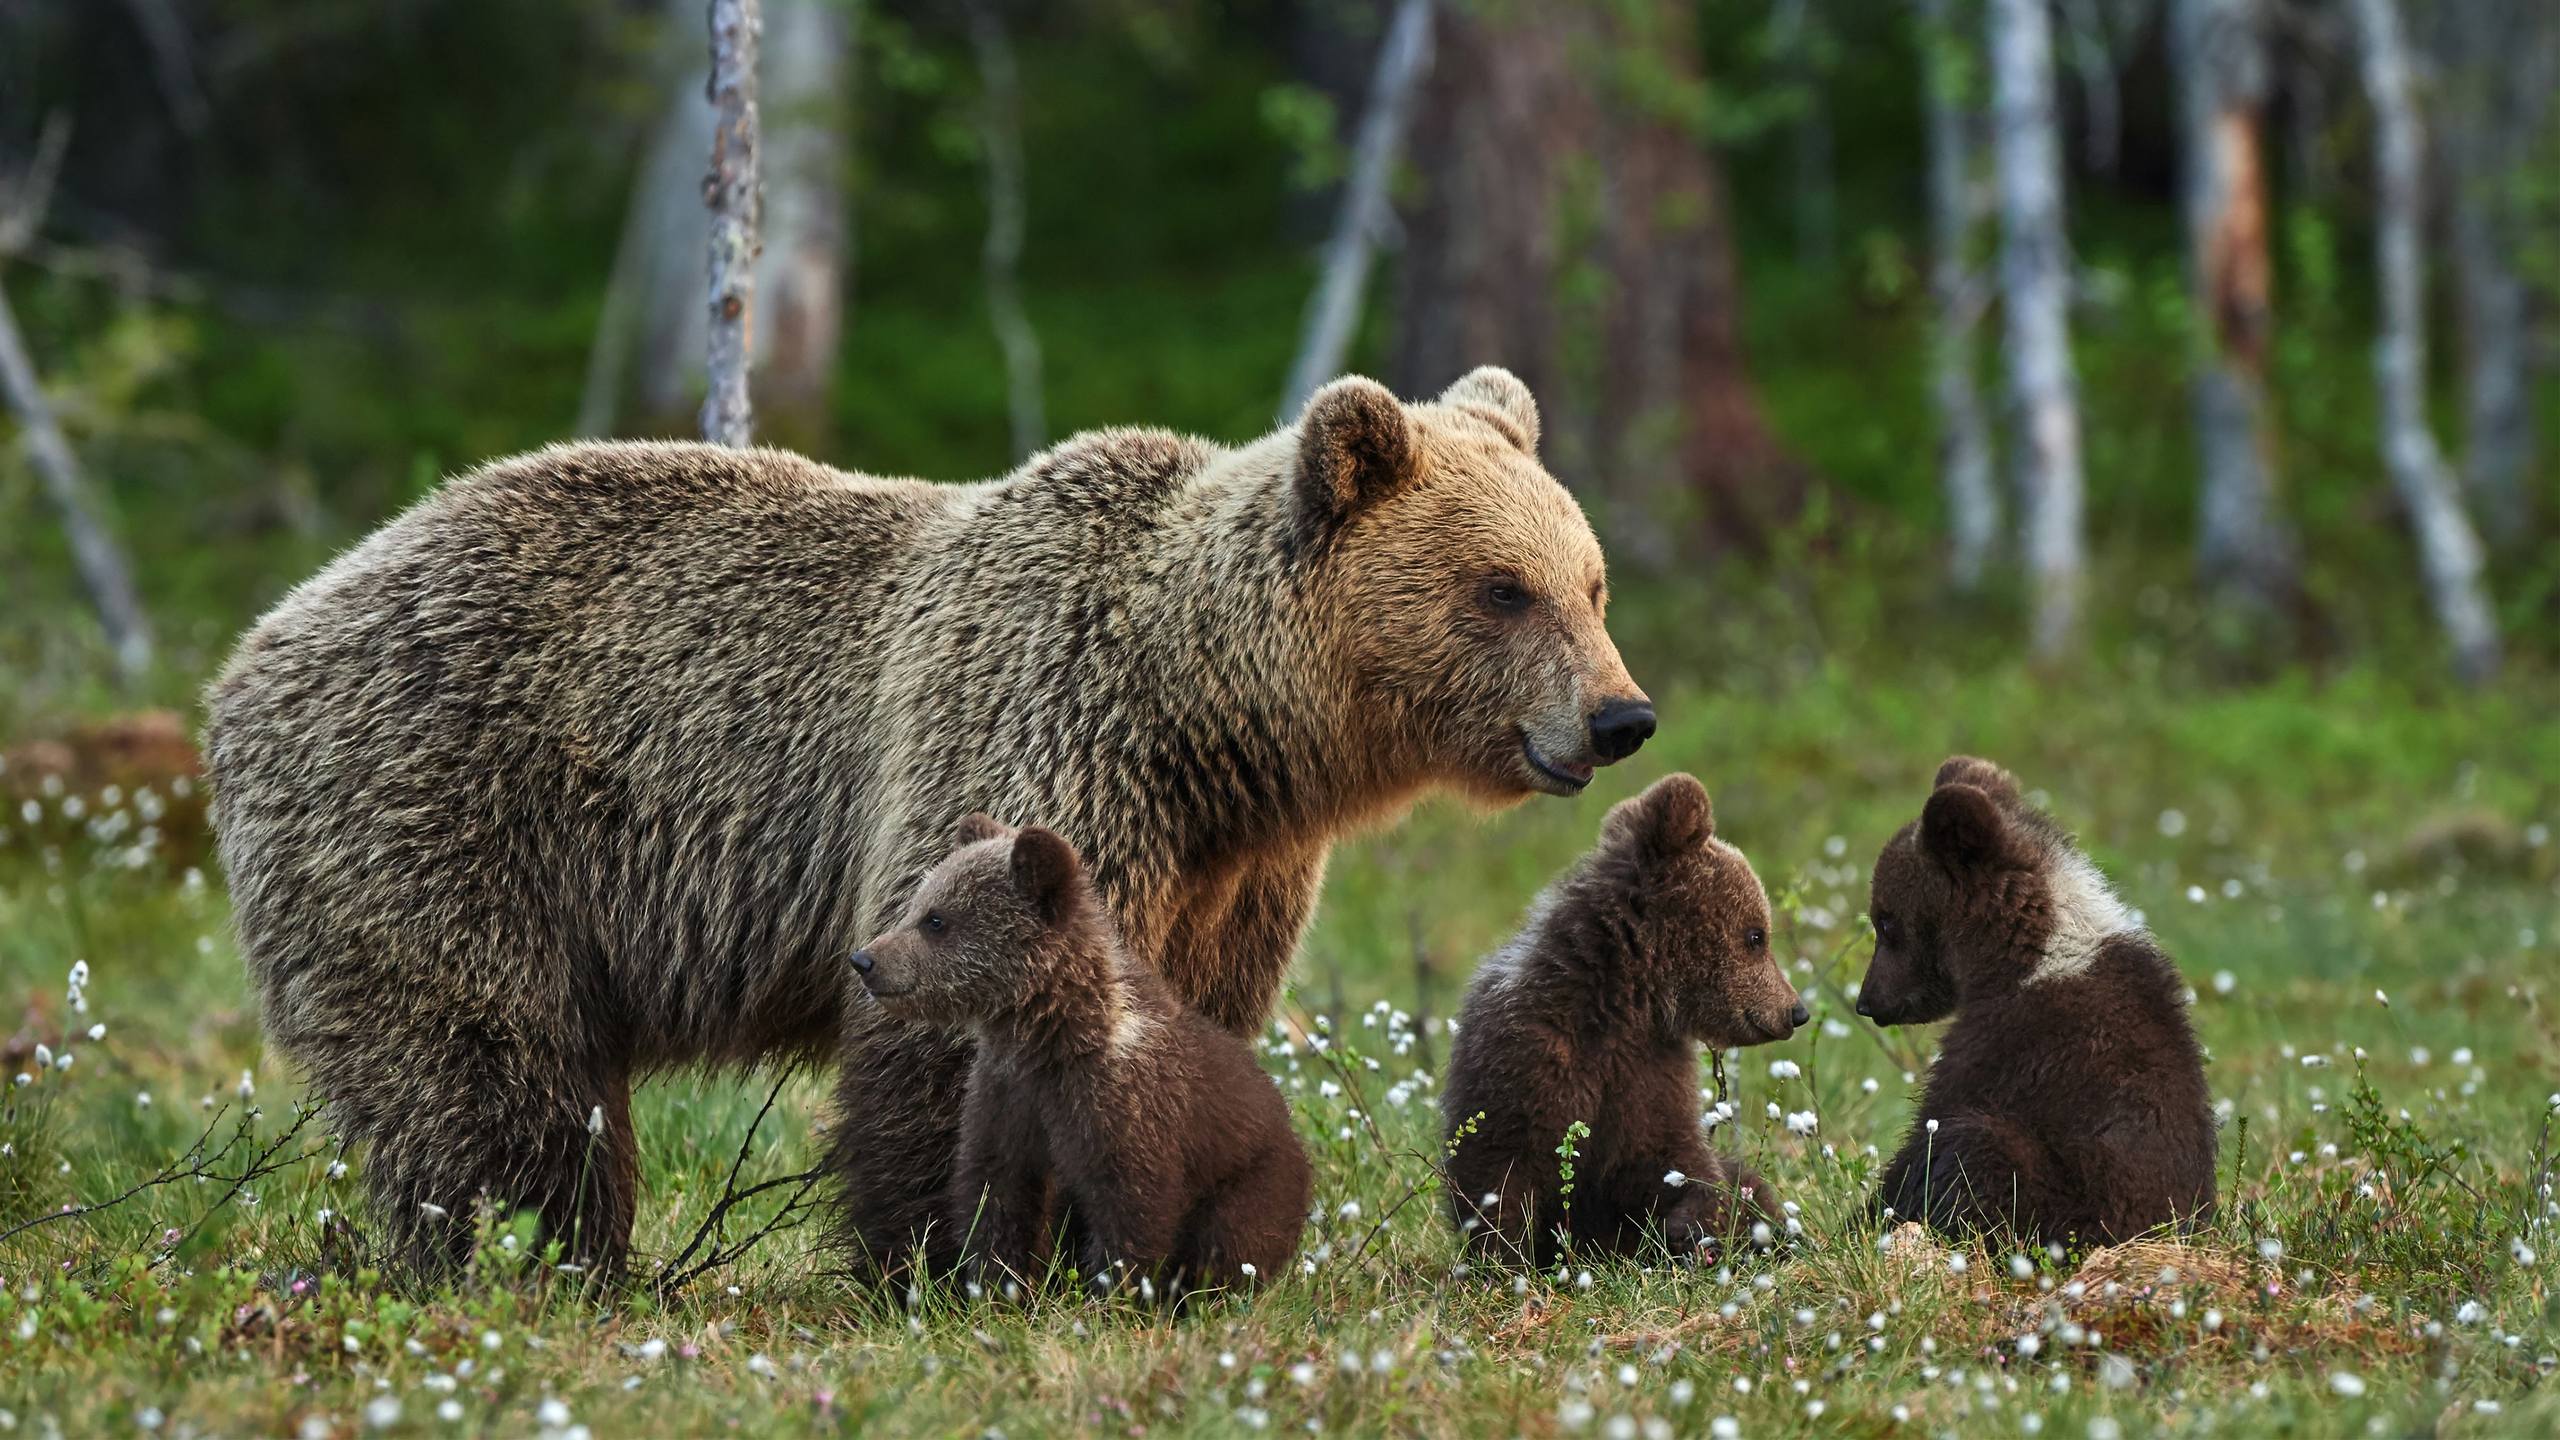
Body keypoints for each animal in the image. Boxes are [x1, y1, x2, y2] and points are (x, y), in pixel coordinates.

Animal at [194, 366, 1638, 1265]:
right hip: (438, 810)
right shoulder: (1037, 733)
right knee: (484, 1066)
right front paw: (953, 1259)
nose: (1619, 718)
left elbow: (1187, 1025)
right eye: (1501, 588)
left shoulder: (1234, 871)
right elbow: (951, 1027)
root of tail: (262, 639)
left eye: (1591, 581)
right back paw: (535, 1254)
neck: (1210, 724)